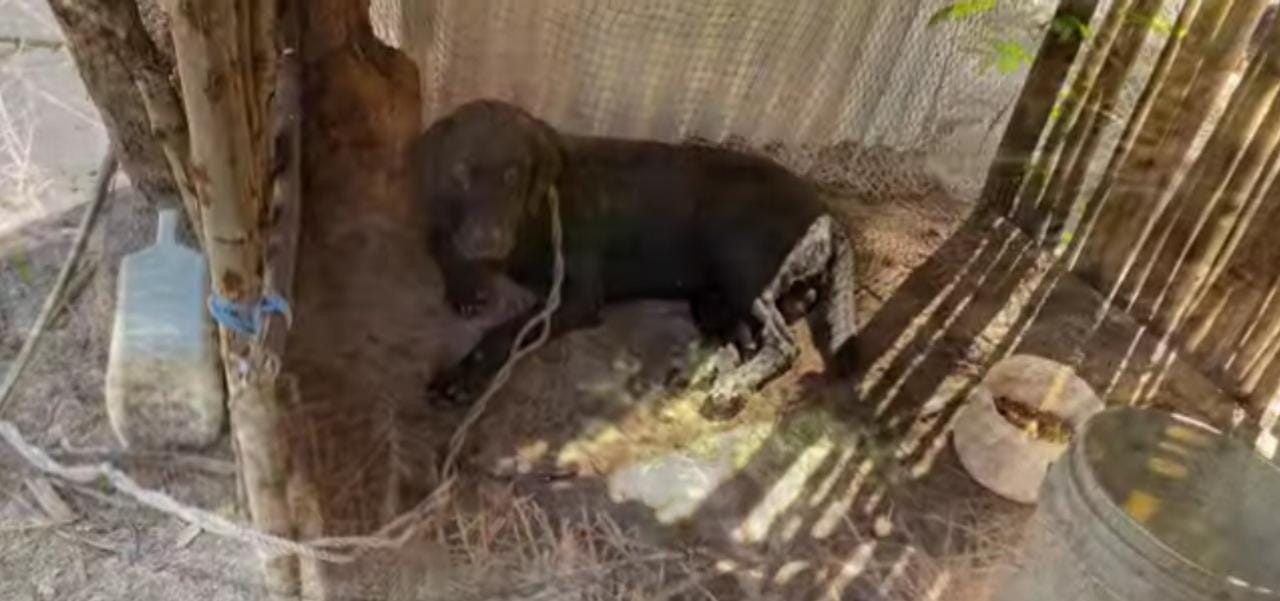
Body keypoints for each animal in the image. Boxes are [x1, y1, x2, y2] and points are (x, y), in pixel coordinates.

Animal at [417, 99, 860, 416]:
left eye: (512, 175)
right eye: (460, 170)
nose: (488, 242)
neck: (537, 211)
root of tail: (826, 214)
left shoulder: (574, 298)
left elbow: (503, 333)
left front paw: (459, 377)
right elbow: (439, 241)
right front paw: (464, 284)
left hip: (741, 266)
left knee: (781, 344)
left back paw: (731, 386)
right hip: (713, 298)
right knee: (746, 340)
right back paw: (707, 371)